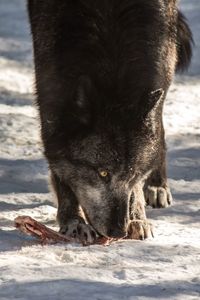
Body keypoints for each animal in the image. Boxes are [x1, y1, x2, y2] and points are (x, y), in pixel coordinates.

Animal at [27, 0, 192, 240]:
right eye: (103, 173)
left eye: (131, 174)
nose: (118, 231)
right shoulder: (49, 97)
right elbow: (60, 170)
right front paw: (74, 221)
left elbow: (136, 183)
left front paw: (137, 217)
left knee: (158, 129)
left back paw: (157, 185)